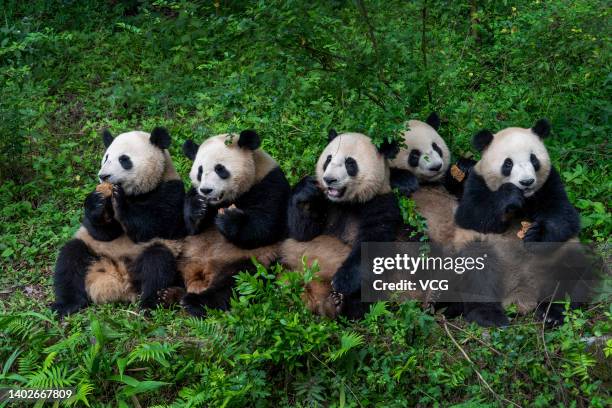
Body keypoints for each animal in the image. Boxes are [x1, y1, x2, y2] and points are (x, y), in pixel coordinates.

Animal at [51, 127, 185, 316]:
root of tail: (118, 281)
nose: (103, 176)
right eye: (106, 157)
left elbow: (154, 224)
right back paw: (67, 305)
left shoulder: (171, 191)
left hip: (155, 255)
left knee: (158, 263)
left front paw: (120, 202)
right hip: (94, 252)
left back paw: (150, 304)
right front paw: (97, 202)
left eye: (124, 159)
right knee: (70, 259)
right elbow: (102, 233)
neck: (135, 194)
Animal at [164, 130, 290, 316]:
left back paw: (194, 302)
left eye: (220, 169)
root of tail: (199, 275)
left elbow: (267, 225)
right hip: (184, 253)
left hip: (248, 258)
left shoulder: (270, 183)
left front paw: (229, 219)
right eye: (200, 171)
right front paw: (199, 208)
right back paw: (165, 294)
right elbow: (187, 225)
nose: (206, 190)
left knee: (237, 282)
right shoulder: (193, 191)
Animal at [280, 131, 404, 318]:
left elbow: (373, 243)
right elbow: (303, 233)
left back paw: (339, 303)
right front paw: (306, 190)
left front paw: (342, 281)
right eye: (328, 159)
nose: (329, 179)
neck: (346, 202)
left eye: (350, 163)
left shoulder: (381, 204)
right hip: (288, 265)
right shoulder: (325, 202)